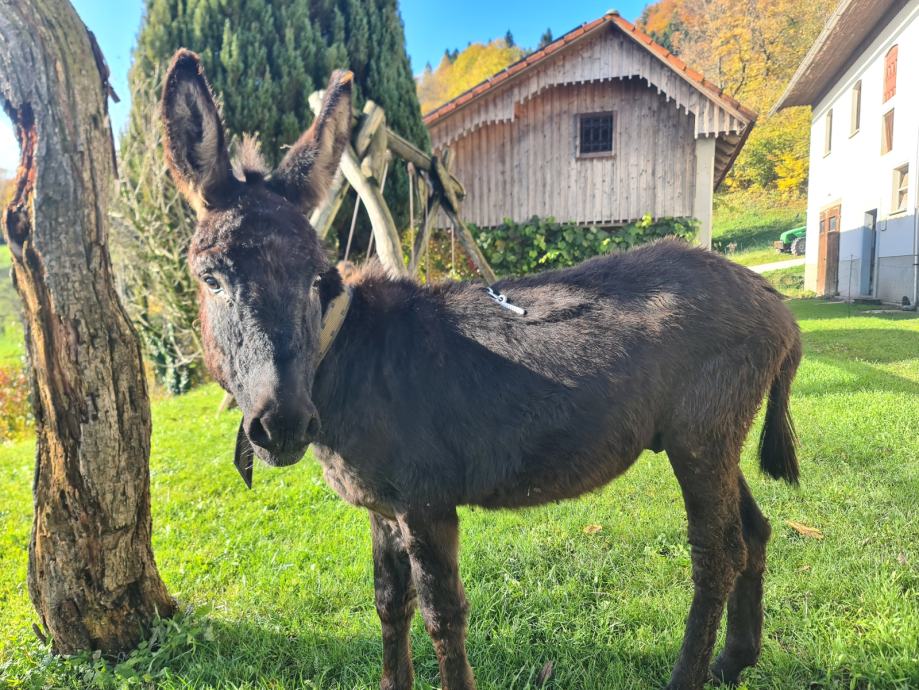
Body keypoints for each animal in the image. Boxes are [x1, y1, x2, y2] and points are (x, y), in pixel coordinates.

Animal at [160, 50, 802, 690]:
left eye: (319, 279)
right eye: (211, 279)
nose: (284, 425)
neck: (345, 360)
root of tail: (773, 301)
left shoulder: (425, 502)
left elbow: (442, 613)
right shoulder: (383, 508)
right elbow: (389, 604)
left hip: (701, 436)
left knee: (717, 554)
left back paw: (694, 672)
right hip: (707, 438)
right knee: (754, 533)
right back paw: (734, 659)